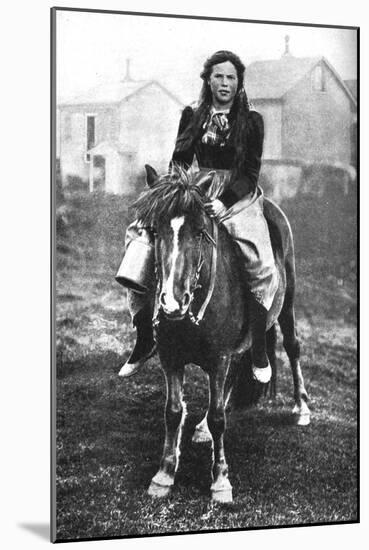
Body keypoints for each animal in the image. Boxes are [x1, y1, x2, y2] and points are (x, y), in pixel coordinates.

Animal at [131, 164, 310, 504]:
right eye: (156, 231)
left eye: (200, 232)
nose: (172, 302)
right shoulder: (171, 357)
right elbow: (173, 411)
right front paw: (164, 474)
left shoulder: (218, 358)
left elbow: (218, 418)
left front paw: (221, 481)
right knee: (237, 369)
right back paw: (200, 427)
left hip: (289, 299)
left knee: (293, 346)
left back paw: (302, 408)